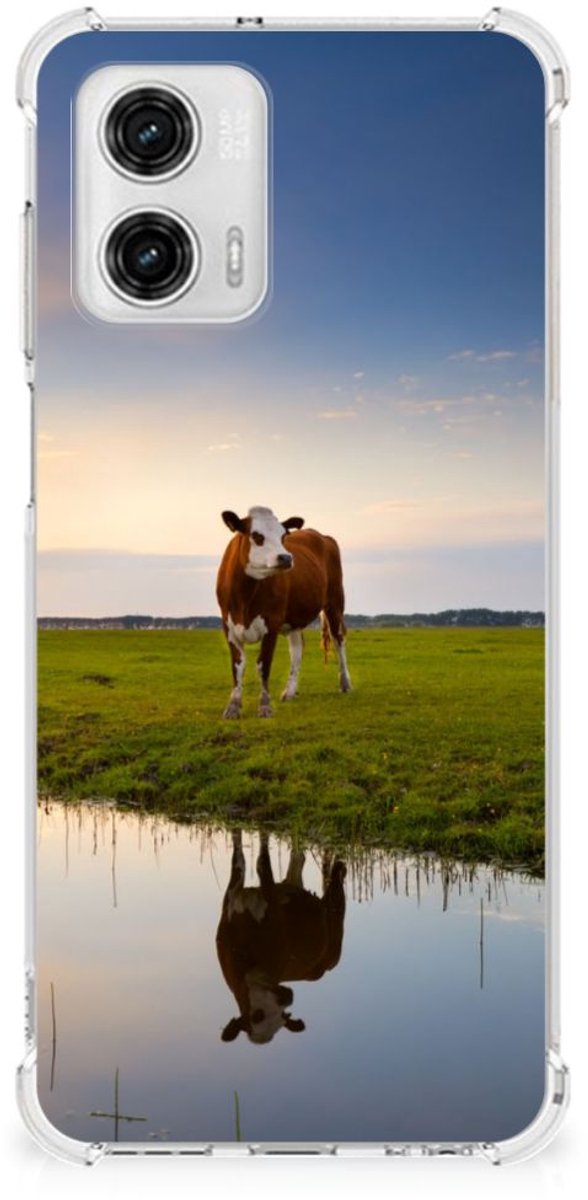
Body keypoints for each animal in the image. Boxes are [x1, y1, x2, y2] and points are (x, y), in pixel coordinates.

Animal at [216, 506, 351, 718]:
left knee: (339, 639)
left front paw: (265, 706)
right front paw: (233, 706)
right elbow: (237, 666)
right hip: (294, 618)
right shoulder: (228, 626)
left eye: (283, 536)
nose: (286, 558)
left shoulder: (271, 624)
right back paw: (290, 691)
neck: (244, 597)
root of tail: (322, 535)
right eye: (256, 535)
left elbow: (263, 665)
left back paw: (345, 683)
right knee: (297, 648)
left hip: (335, 602)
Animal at [216, 830, 346, 1045]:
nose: (287, 997)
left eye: (283, 1016)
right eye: (257, 1016)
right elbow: (239, 857)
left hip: (335, 925)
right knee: (298, 859)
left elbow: (262, 862)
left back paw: (339, 867)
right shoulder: (231, 898)